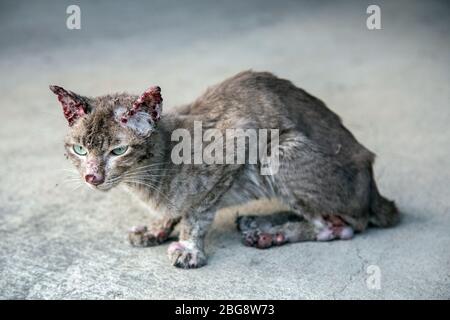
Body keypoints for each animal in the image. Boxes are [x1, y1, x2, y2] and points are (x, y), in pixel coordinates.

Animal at [51, 70, 400, 268]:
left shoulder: (237, 146)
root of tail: (374, 190)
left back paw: (270, 233)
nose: (92, 177)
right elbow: (176, 209)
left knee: (342, 226)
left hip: (278, 152)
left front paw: (189, 247)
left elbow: (197, 213)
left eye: (118, 151)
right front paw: (157, 227)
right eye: (80, 149)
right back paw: (259, 222)